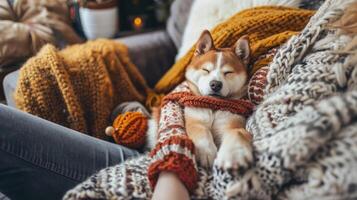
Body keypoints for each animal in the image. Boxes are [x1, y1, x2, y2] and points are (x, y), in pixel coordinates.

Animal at [184, 30, 253, 170]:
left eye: (228, 72)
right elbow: (201, 131)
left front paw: (233, 155)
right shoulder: (195, 119)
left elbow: (236, 133)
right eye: (206, 70)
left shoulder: (231, 123)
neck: (213, 106)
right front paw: (206, 151)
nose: (215, 84)